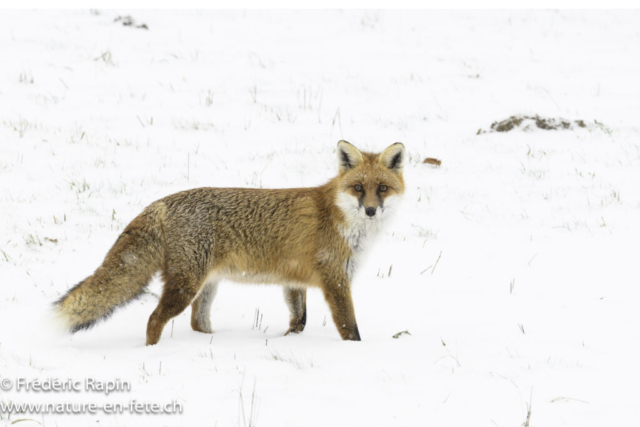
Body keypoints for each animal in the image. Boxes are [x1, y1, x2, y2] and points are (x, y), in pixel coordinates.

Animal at [54, 140, 406, 345]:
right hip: (186, 285)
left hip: (207, 284)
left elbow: (299, 322)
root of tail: (162, 202)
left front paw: (288, 343)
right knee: (154, 319)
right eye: (358, 188)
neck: (340, 219)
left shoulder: (294, 280)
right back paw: (154, 353)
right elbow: (350, 328)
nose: (371, 211)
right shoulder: (335, 279)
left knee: (197, 323)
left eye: (382, 188)